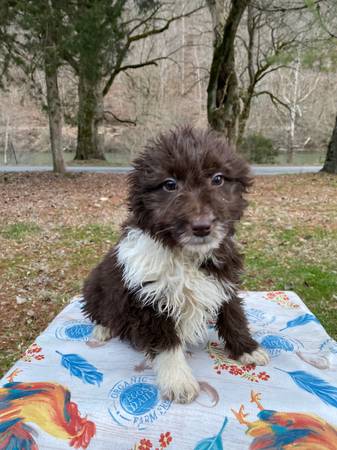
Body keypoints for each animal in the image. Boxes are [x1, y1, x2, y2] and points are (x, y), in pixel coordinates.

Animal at [82, 125, 270, 404]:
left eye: (218, 179)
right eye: (169, 185)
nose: (202, 227)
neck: (186, 255)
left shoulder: (224, 277)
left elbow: (233, 312)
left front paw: (246, 348)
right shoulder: (149, 298)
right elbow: (166, 340)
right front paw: (177, 379)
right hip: (95, 285)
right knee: (100, 311)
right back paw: (103, 329)